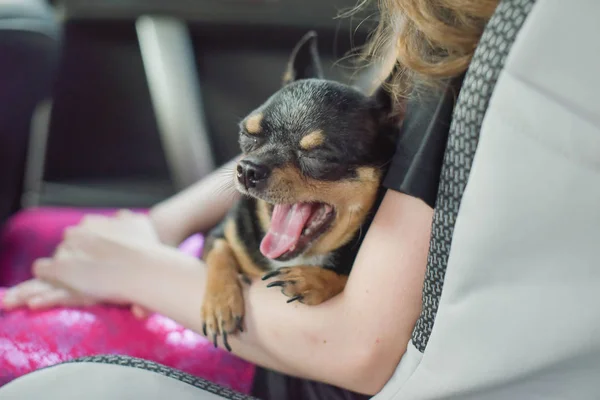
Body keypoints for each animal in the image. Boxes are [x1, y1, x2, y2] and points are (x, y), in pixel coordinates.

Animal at [199, 31, 400, 350]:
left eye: (319, 156)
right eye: (247, 133)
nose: (247, 169)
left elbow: (344, 277)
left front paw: (312, 280)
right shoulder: (221, 233)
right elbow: (219, 250)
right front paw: (220, 303)